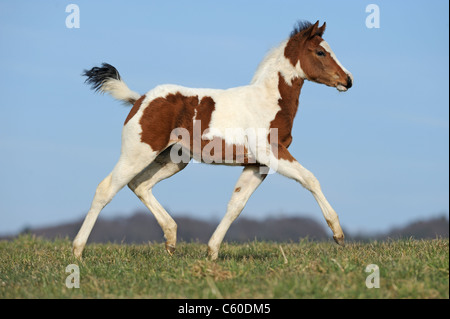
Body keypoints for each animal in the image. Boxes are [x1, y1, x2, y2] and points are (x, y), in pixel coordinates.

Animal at [73, 19, 352, 260]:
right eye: (320, 52)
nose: (347, 80)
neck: (267, 101)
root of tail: (140, 99)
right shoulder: (270, 152)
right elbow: (310, 179)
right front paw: (338, 235)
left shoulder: (256, 164)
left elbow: (236, 204)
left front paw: (212, 251)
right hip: (138, 152)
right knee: (106, 189)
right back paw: (77, 251)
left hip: (172, 160)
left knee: (140, 185)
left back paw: (171, 240)